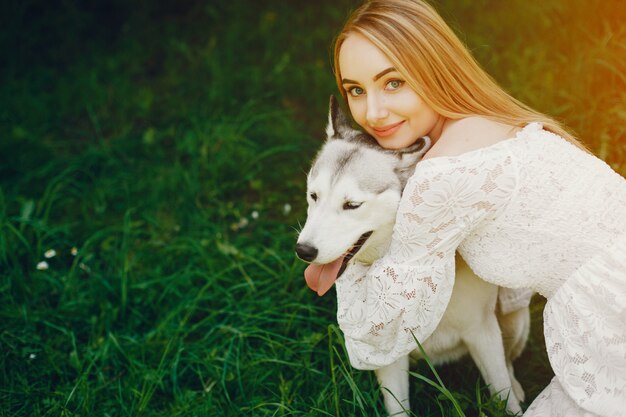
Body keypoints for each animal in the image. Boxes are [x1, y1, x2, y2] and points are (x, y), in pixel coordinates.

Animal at [294, 96, 528, 414]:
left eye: (352, 205)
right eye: (314, 196)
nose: (304, 250)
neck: (412, 266)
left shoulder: (482, 332)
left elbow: (504, 394)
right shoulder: (385, 353)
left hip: (516, 320)